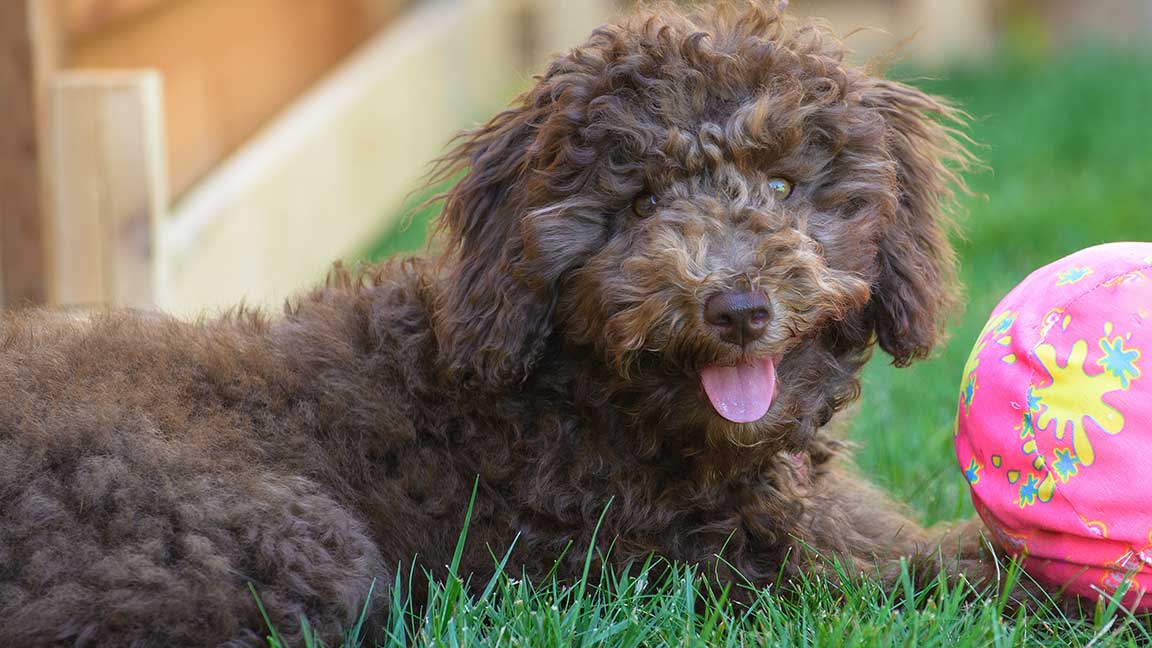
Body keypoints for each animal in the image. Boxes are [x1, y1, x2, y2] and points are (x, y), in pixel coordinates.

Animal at [0, 2, 990, 641]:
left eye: (784, 186)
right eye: (638, 204)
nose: (737, 306)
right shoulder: (681, 564)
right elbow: (898, 576)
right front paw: (1019, 582)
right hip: (273, 542)